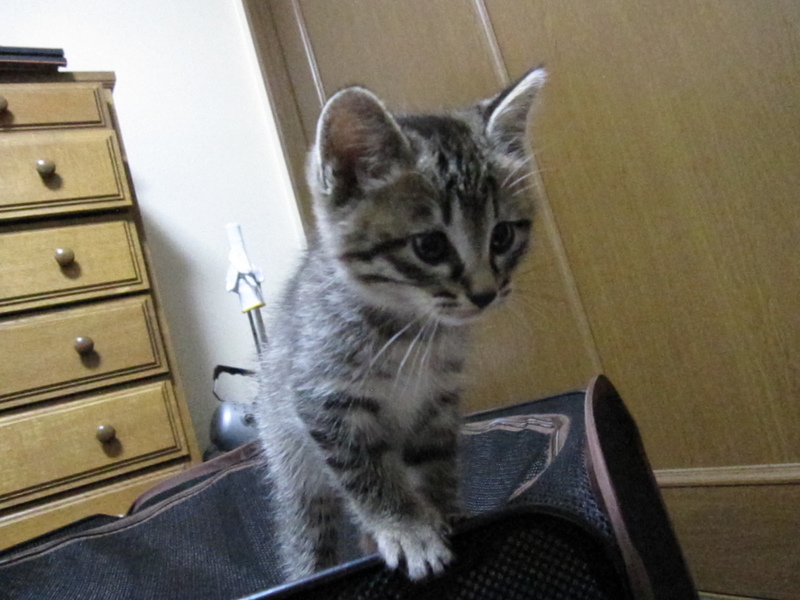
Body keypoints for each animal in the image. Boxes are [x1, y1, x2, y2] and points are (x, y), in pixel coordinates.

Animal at [256, 66, 546, 582]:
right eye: (430, 246)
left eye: (502, 236)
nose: (485, 293)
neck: (412, 329)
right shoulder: (324, 398)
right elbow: (369, 474)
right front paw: (407, 527)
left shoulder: (438, 402)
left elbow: (433, 466)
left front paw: (445, 514)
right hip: (290, 456)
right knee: (308, 526)